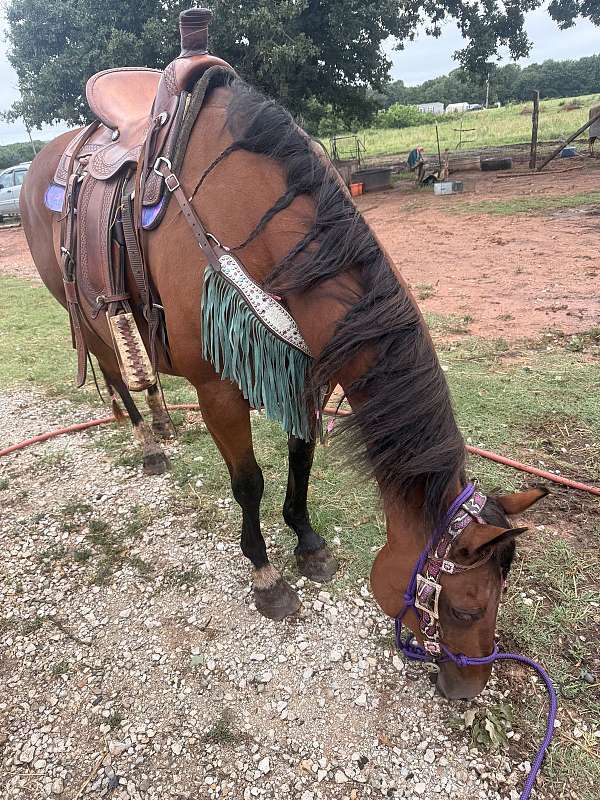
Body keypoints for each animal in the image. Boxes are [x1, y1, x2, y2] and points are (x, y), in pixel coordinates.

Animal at [20, 75, 548, 700]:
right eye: (466, 609)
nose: (468, 690)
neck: (262, 227)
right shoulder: (218, 390)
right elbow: (249, 483)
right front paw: (267, 577)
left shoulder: (306, 374)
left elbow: (302, 457)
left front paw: (309, 544)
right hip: (83, 309)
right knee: (113, 370)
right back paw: (148, 444)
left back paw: (164, 422)